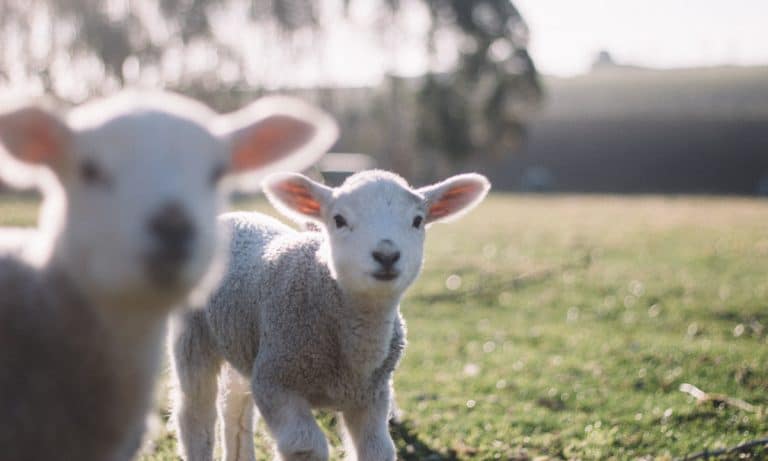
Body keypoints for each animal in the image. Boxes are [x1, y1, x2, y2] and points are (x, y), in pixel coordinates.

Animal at [170, 170, 488, 460]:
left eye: (418, 221)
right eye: (339, 220)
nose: (386, 255)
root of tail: (234, 216)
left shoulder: (372, 396)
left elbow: (378, 450)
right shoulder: (275, 381)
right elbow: (306, 446)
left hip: (244, 340)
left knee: (235, 407)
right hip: (193, 336)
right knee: (195, 414)